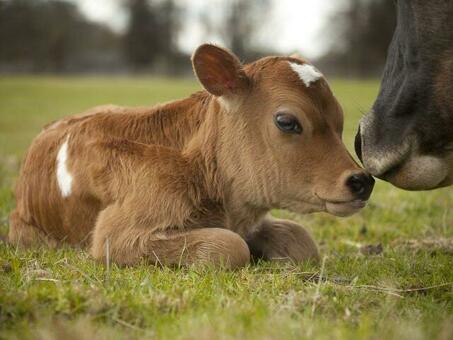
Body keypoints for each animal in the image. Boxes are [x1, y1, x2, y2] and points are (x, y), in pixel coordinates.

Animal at [8, 44, 372, 268]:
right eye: (286, 121)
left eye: (340, 121)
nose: (362, 181)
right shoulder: (115, 235)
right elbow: (229, 246)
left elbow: (301, 240)